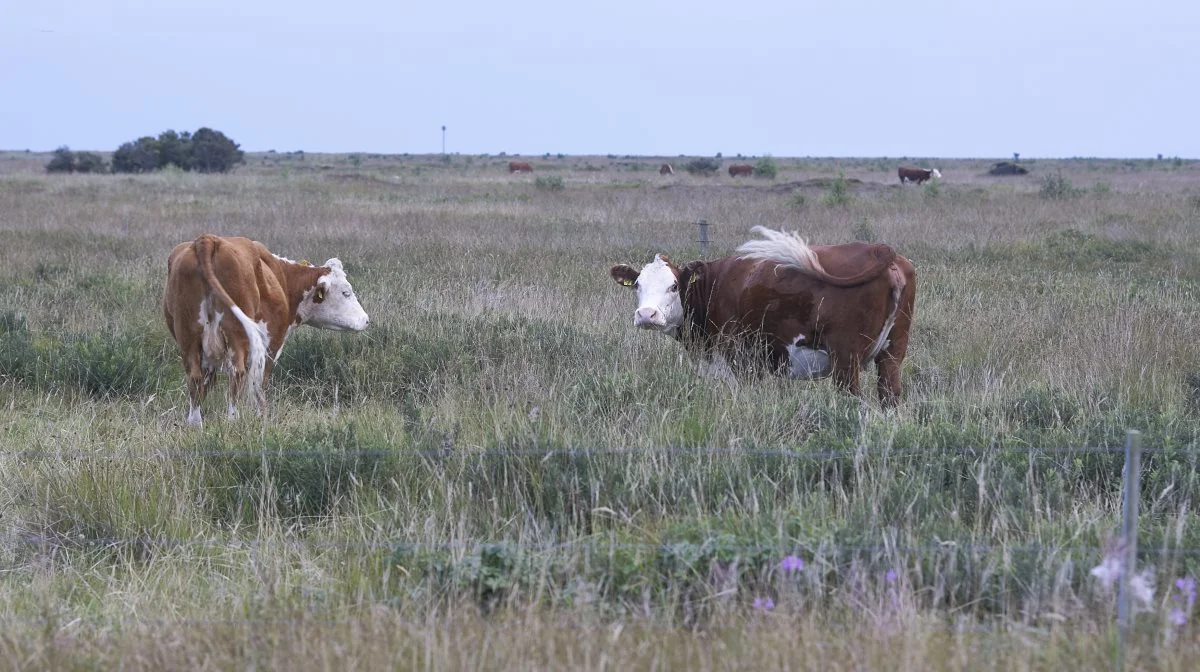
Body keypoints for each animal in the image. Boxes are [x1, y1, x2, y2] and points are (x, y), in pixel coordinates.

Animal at [163, 235, 369, 424]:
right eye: (346, 292)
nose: (366, 320)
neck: (283, 279)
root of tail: (208, 240)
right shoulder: (271, 346)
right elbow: (260, 383)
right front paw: (261, 418)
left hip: (188, 335)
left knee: (195, 377)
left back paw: (195, 424)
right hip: (236, 334)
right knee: (236, 374)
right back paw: (233, 421)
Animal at [609, 225, 916, 408]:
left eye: (674, 286)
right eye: (637, 285)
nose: (646, 314)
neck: (714, 285)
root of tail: (883, 251)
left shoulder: (740, 361)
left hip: (845, 360)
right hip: (892, 354)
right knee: (890, 396)